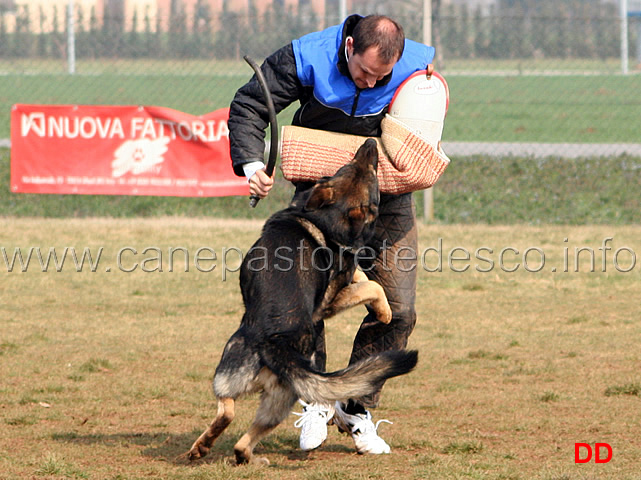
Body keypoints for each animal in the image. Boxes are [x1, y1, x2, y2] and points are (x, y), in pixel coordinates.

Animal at [186, 139, 416, 464]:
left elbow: (369, 283)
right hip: (272, 395)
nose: (371, 142)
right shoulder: (330, 296)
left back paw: (206, 448)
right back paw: (227, 452)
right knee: (237, 432)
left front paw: (382, 311)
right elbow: (366, 280)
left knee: (227, 413)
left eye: (368, 173)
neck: (326, 218)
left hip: (231, 372)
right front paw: (382, 310)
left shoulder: (328, 302)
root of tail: (277, 346)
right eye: (350, 167)